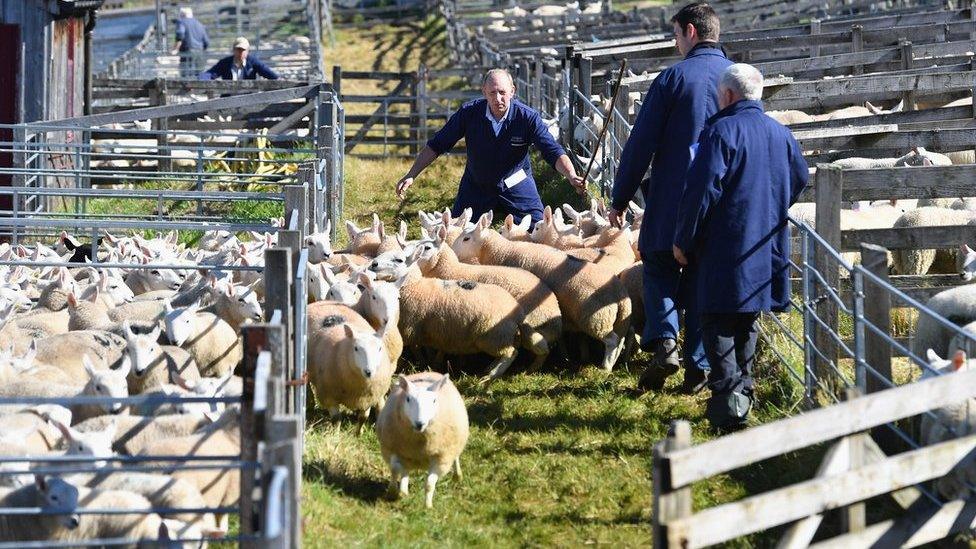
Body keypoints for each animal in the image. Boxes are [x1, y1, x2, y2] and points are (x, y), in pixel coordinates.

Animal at [378, 370, 468, 508]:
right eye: (408, 399)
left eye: (434, 401)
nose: (419, 423)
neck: (419, 441)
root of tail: (430, 371)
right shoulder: (392, 448)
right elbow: (394, 469)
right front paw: (392, 493)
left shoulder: (442, 459)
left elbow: (429, 484)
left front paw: (428, 506)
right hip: (407, 455)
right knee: (404, 470)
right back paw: (403, 491)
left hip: (454, 445)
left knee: (456, 457)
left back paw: (457, 476)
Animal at [414, 235, 564, 368]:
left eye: (426, 248)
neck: (450, 270)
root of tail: (556, 317)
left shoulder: (445, 318)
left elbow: (442, 346)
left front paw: (437, 362)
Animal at [452, 212, 628, 370]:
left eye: (466, 238)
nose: (452, 250)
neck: (502, 250)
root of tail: (620, 293)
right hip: (618, 320)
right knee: (620, 340)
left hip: (596, 319)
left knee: (612, 341)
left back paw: (606, 367)